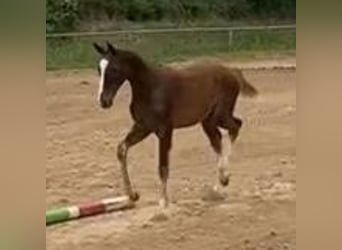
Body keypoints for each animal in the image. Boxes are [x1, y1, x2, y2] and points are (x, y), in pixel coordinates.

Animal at [92, 42, 258, 208]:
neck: (150, 89)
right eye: (99, 69)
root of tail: (232, 71)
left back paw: (224, 178)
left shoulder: (165, 130)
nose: (104, 101)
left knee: (235, 126)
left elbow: (163, 167)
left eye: (114, 69)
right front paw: (132, 195)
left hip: (219, 115)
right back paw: (218, 186)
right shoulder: (143, 127)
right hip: (207, 120)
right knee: (218, 140)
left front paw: (163, 201)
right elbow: (122, 149)